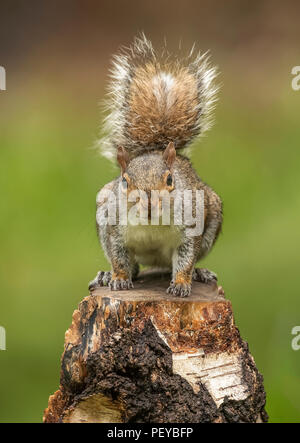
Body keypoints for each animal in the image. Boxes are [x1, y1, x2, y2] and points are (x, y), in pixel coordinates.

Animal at [89, 34, 223, 298]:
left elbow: (185, 259)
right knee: (134, 266)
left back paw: (199, 273)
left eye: (170, 180)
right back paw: (106, 275)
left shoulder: (191, 226)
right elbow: (119, 258)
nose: (150, 204)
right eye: (124, 182)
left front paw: (181, 283)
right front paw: (119, 278)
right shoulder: (113, 228)